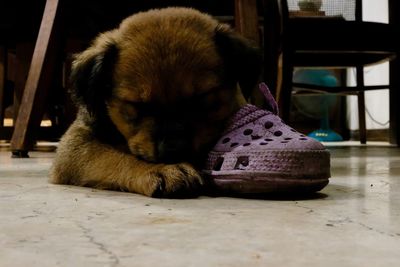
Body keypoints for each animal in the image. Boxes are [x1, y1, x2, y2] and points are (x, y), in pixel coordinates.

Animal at [50, 6, 262, 199]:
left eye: (201, 98)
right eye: (138, 106)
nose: (174, 150)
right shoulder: (75, 144)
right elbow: (112, 157)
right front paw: (162, 169)